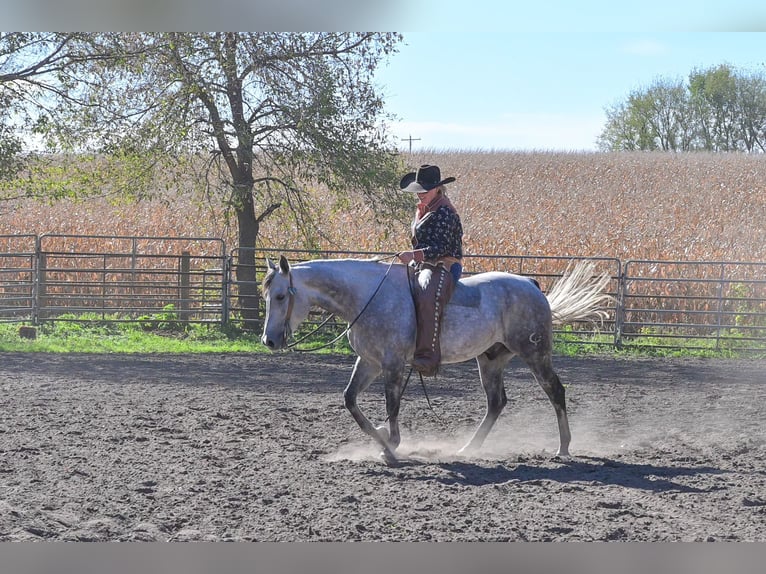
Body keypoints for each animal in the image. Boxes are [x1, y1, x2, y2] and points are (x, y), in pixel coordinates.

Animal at [261, 255, 612, 465]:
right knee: (496, 402)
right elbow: (350, 400)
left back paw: (563, 447)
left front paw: (391, 445)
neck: (367, 297)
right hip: (491, 359)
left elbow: (392, 405)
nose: (269, 341)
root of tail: (530, 284)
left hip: (535, 353)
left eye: (280, 296)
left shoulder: (392, 364)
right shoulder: (369, 362)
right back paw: (469, 448)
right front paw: (382, 442)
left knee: (555, 391)